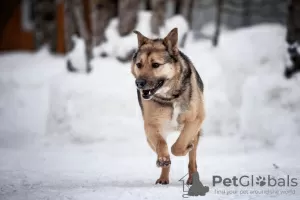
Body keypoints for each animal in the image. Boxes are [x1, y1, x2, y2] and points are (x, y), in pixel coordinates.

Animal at [132, 27, 206, 184]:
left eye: (155, 65)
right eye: (139, 65)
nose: (139, 83)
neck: (170, 97)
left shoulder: (195, 119)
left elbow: (178, 146)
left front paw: (184, 148)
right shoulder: (151, 125)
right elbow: (162, 145)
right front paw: (163, 159)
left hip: (195, 133)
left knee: (192, 159)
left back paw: (192, 177)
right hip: (150, 138)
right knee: (163, 148)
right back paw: (163, 176)